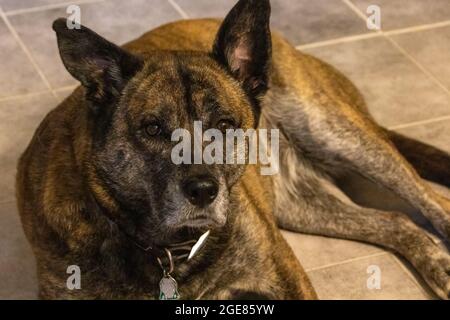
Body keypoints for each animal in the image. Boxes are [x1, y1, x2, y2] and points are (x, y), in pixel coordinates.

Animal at [16, 0, 450, 300]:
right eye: (153, 128)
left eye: (224, 124)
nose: (203, 191)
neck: (168, 250)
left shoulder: (281, 275)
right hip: (301, 205)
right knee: (395, 220)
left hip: (336, 133)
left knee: (434, 203)